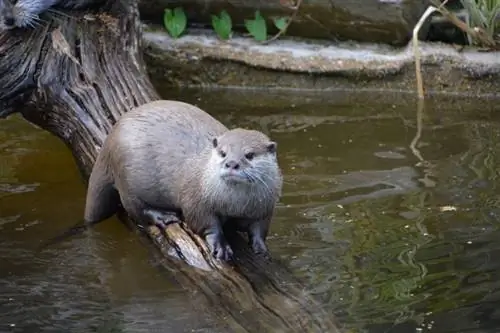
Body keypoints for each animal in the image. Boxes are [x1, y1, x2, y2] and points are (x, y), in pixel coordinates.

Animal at [84, 100, 284, 260]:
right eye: (223, 153)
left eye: (249, 155)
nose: (232, 163)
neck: (235, 205)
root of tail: (109, 142)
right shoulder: (196, 199)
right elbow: (205, 222)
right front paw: (220, 246)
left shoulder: (265, 207)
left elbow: (259, 228)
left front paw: (261, 248)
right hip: (126, 176)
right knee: (136, 210)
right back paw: (164, 216)